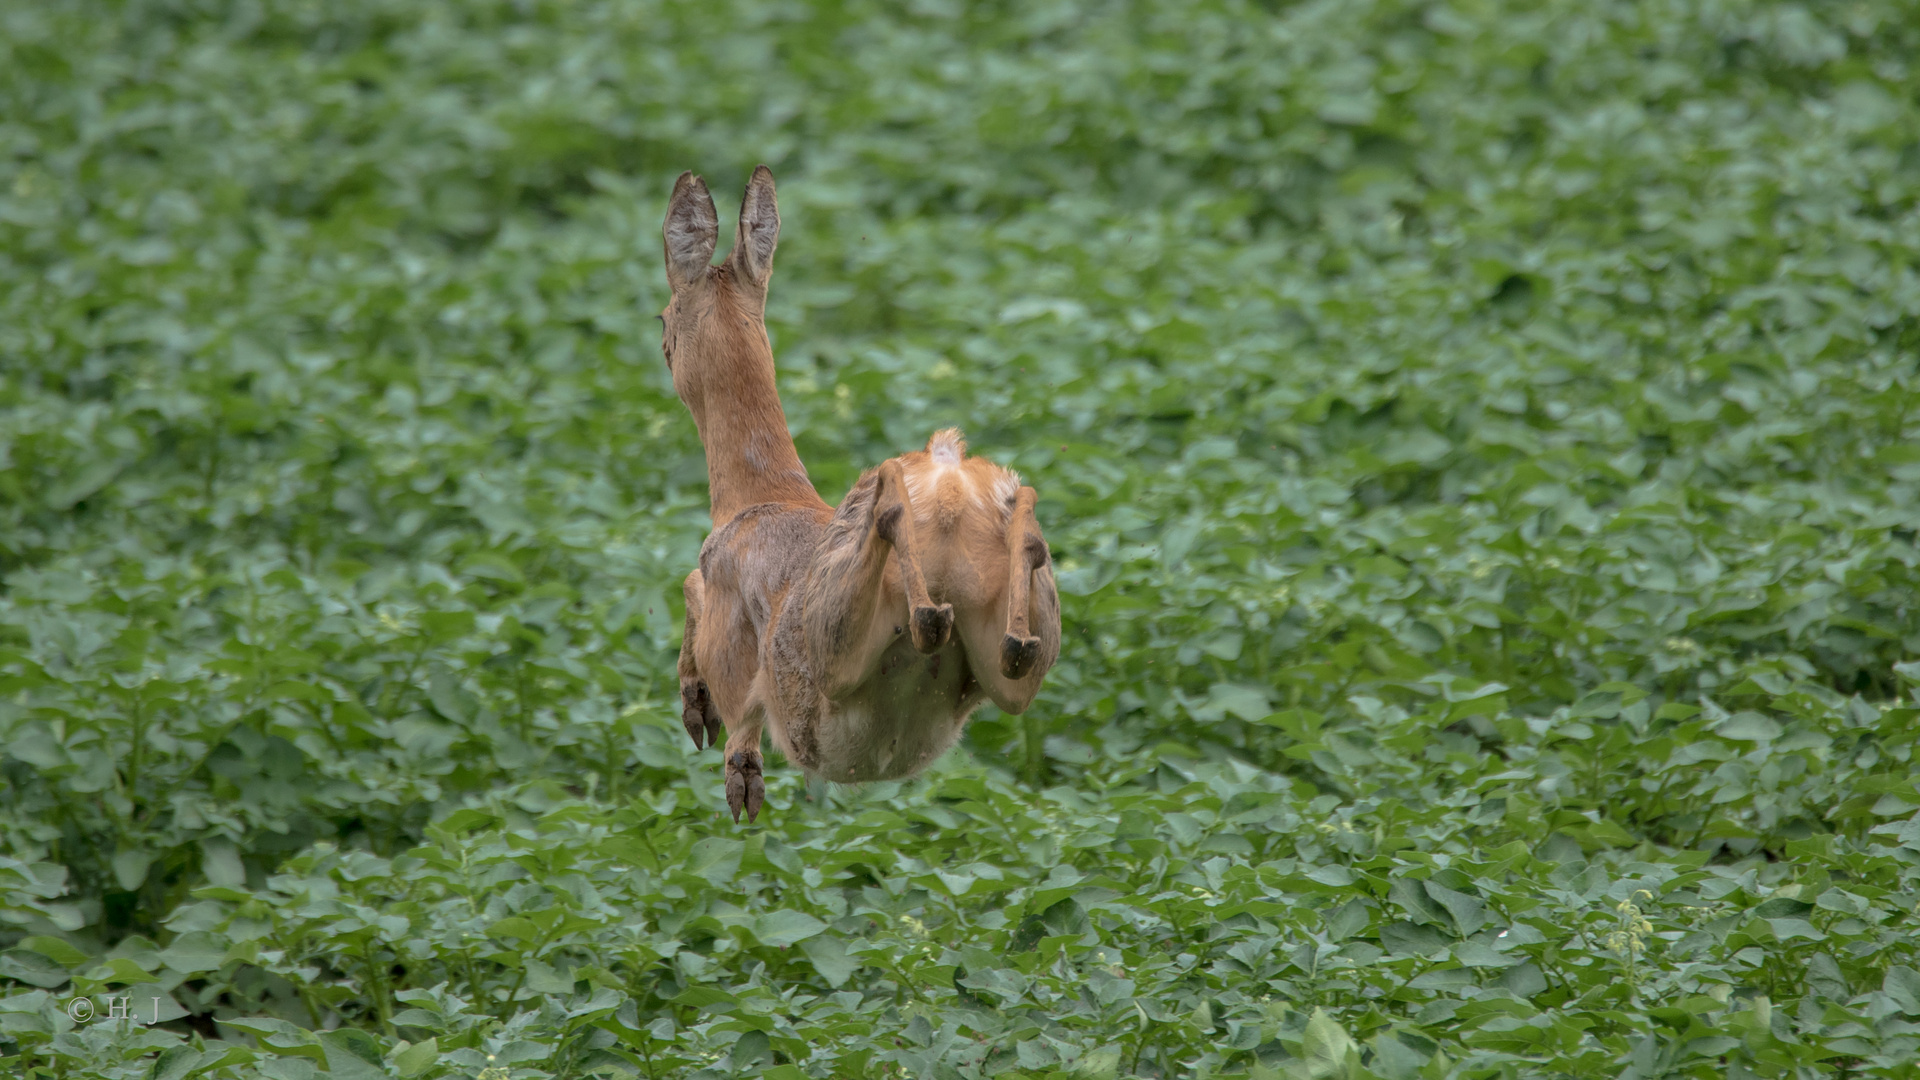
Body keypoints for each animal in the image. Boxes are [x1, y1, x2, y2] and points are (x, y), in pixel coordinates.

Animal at [664, 166, 1067, 814]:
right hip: (1008, 664)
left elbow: (695, 597)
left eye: (663, 318)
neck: (761, 496)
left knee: (899, 555)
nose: (663, 346)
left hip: (835, 644)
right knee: (1017, 646)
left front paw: (715, 737)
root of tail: (950, 490)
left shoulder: (726, 608)